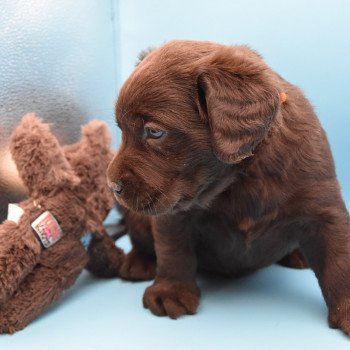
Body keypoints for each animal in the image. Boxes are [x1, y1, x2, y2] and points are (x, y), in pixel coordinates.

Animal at [107, 39, 350, 334]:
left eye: (154, 132)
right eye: (121, 131)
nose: (112, 185)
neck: (240, 178)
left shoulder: (322, 209)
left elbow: (339, 262)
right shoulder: (174, 214)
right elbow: (173, 251)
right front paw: (171, 292)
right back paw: (138, 262)